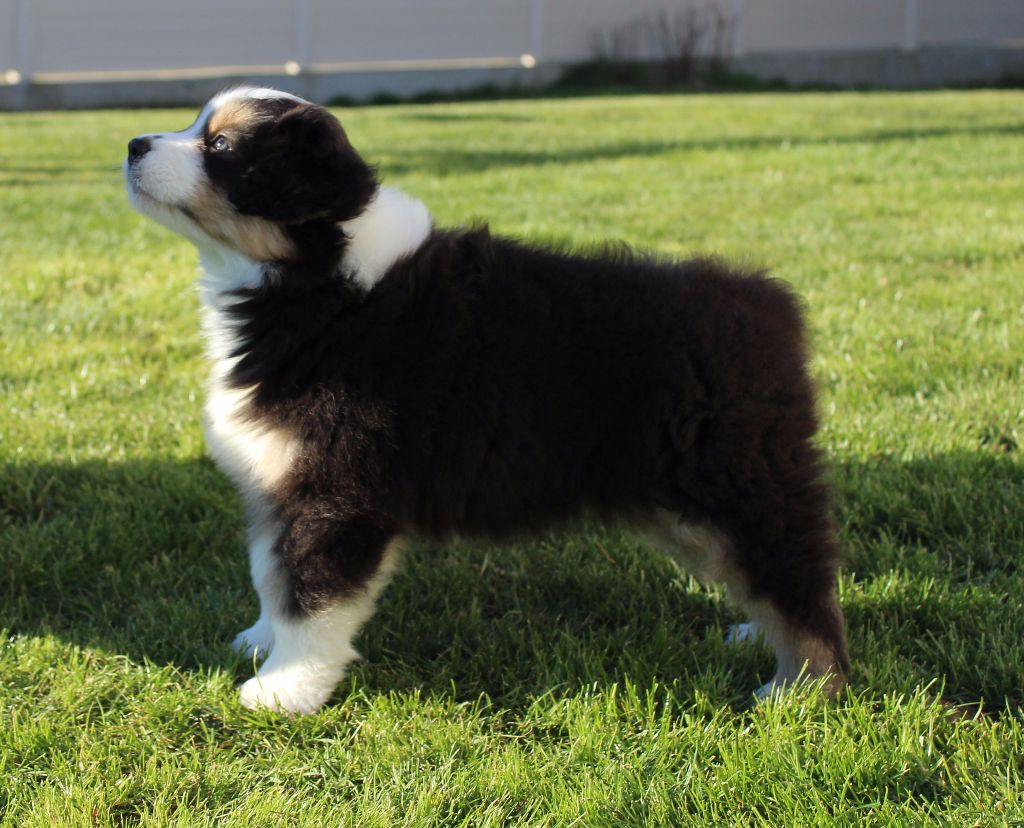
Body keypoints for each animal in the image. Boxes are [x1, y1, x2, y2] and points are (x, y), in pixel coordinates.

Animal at [125, 86, 849, 714]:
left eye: (220, 146)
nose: (132, 143)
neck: (314, 279)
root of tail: (769, 306)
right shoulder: (276, 483)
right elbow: (271, 575)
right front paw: (260, 642)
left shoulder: (337, 492)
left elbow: (313, 597)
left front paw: (285, 690)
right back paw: (756, 635)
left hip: (737, 478)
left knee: (798, 580)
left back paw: (801, 688)